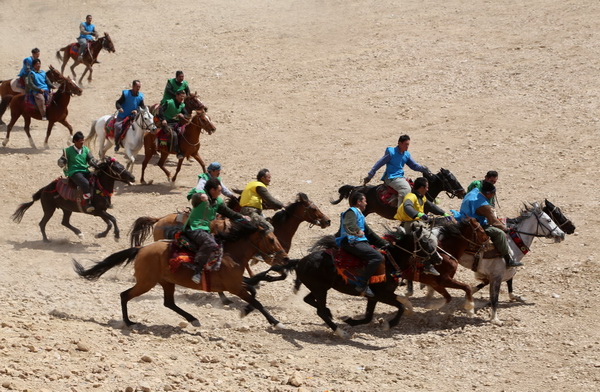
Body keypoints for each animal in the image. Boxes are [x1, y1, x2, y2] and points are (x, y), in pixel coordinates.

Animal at [74, 220, 290, 328]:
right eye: (271, 239)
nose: (285, 258)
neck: (229, 255)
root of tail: (141, 249)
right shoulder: (234, 286)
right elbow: (257, 300)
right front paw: (275, 322)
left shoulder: (236, 284)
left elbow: (254, 293)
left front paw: (245, 311)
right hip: (146, 283)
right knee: (124, 295)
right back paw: (128, 322)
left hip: (166, 282)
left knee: (168, 303)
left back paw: (193, 319)